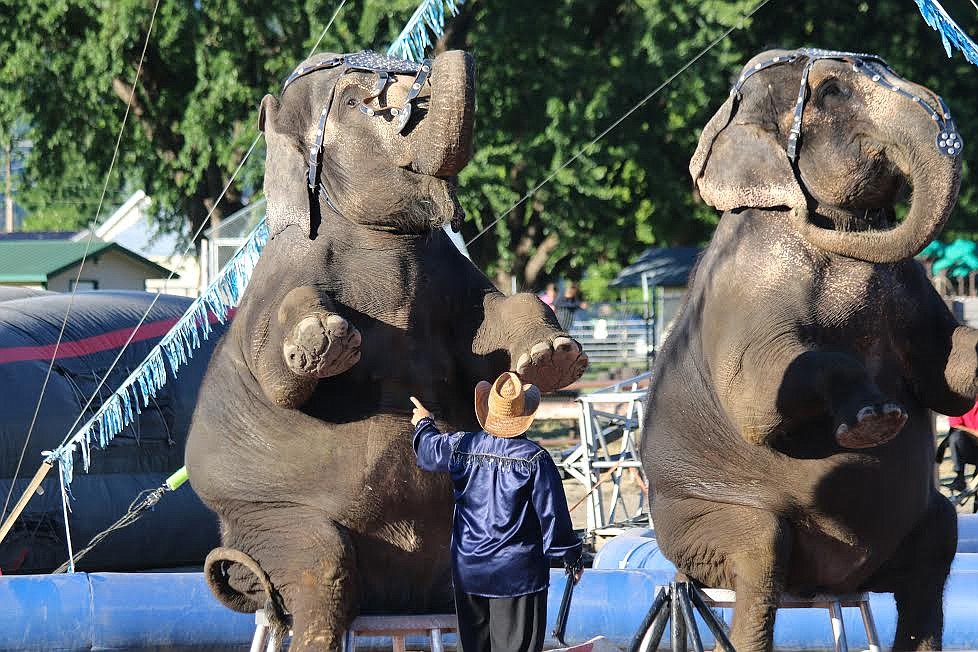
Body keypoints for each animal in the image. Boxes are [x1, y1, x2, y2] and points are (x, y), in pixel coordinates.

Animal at [186, 48, 588, 648]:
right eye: (357, 103)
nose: (448, 53)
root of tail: (391, 602)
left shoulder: (450, 270)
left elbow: (489, 320)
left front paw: (554, 356)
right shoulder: (282, 273)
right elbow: (276, 371)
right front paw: (326, 339)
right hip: (265, 517)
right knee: (321, 565)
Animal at [640, 48, 968, 648]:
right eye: (834, 91)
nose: (806, 213)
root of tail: (829, 587)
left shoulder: (911, 283)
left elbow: (944, 375)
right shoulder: (746, 287)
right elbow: (754, 399)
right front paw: (874, 421)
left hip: (920, 527)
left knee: (936, 550)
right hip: (695, 526)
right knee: (759, 549)